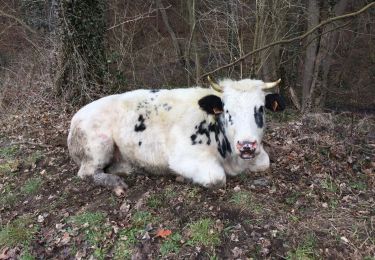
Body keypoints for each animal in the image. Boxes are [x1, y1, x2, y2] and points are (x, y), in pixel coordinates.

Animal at [67, 78, 284, 194]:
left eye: (261, 109)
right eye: (227, 110)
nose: (246, 145)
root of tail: (76, 117)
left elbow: (265, 162)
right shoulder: (184, 157)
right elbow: (216, 178)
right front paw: (183, 178)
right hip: (98, 145)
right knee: (87, 173)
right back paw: (115, 182)